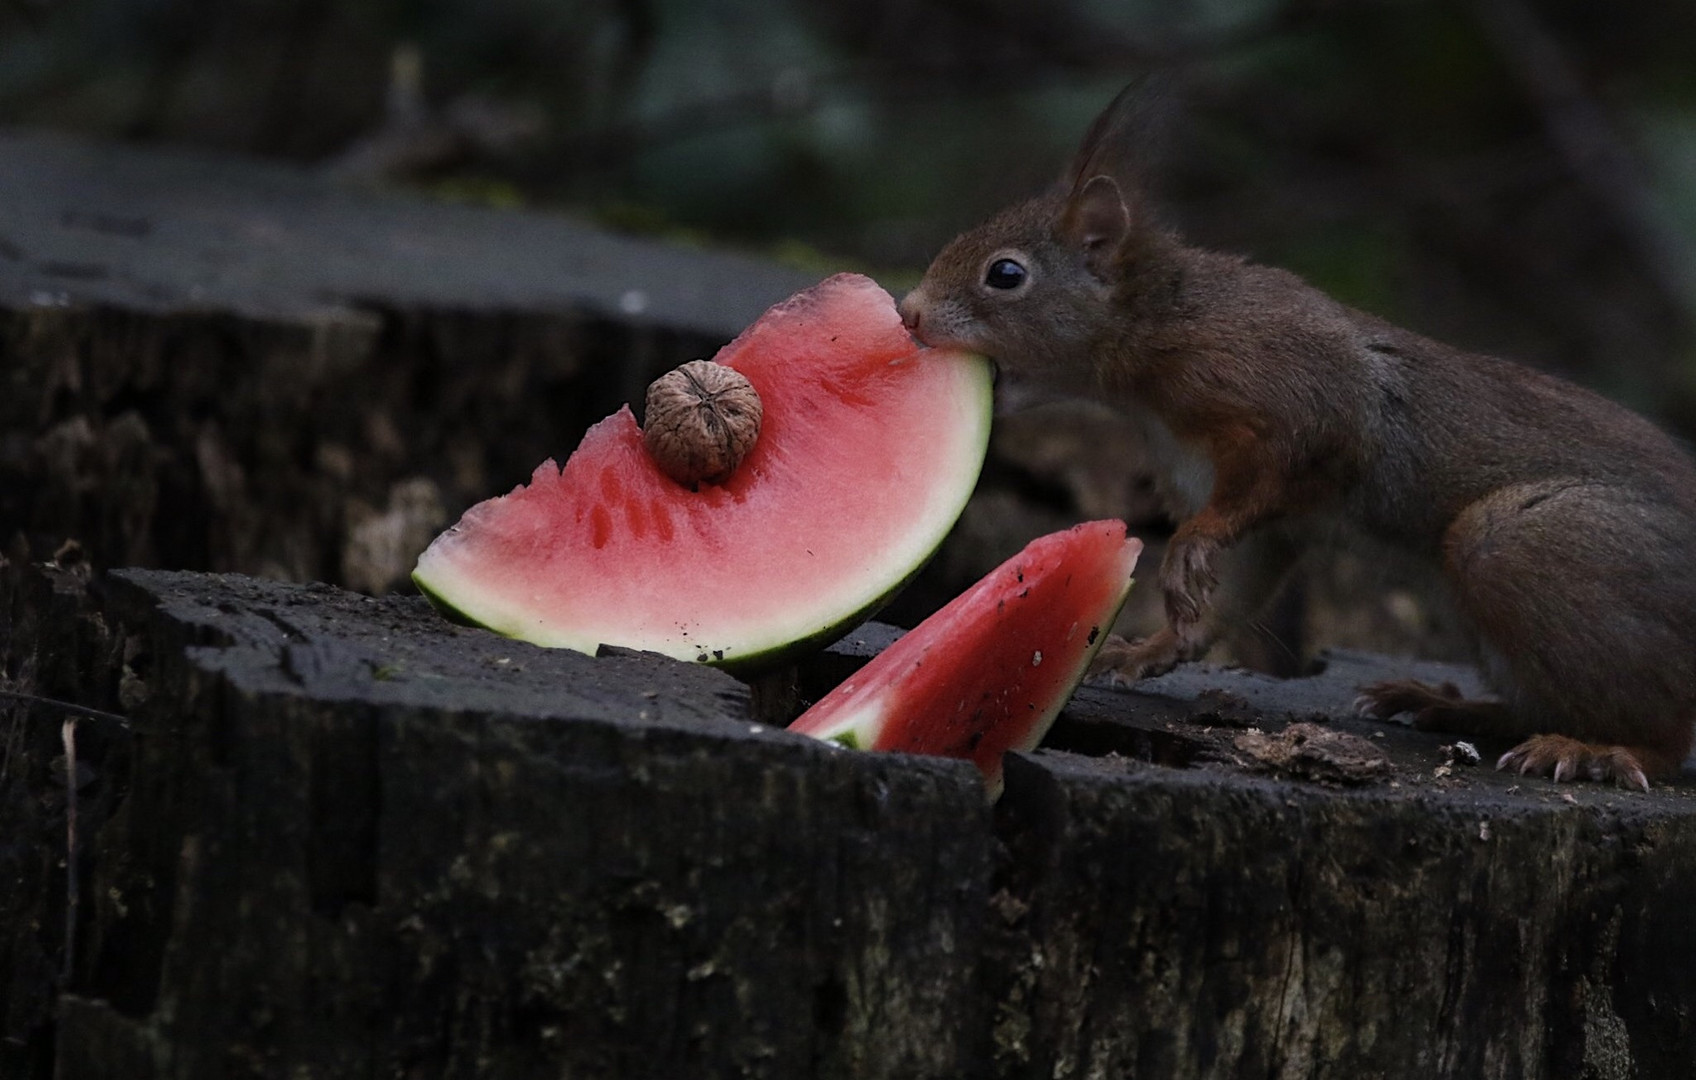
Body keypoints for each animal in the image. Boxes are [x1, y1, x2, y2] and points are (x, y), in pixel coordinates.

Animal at [902, 86, 1696, 793]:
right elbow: (1241, 579)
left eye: (1006, 274)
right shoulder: (1250, 504)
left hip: (1526, 546)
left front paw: (1187, 549)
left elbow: (1279, 472)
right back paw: (1445, 705)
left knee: (1664, 731)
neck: (1156, 338)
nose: (908, 312)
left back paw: (1597, 751)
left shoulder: (1292, 398)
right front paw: (1150, 648)